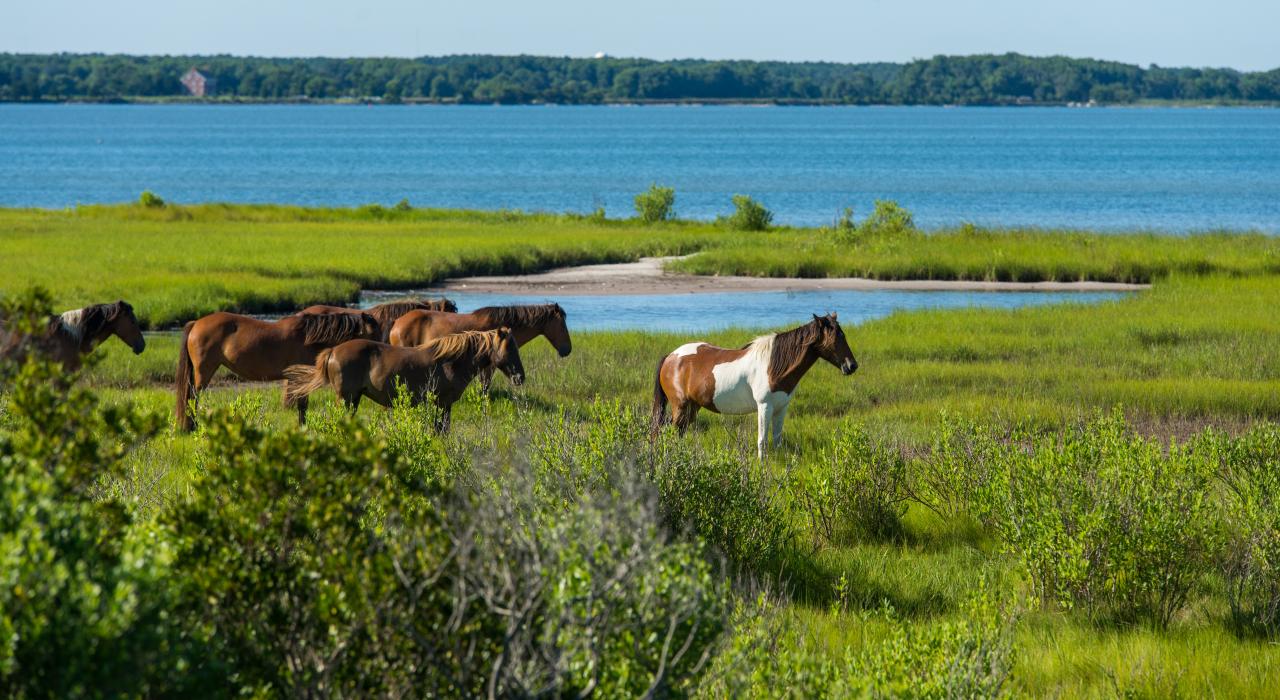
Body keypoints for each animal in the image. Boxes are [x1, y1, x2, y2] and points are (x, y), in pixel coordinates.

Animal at [175, 311, 379, 431]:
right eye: (374, 333)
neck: (308, 337)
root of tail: (196, 323)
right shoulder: (300, 379)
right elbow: (302, 406)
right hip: (204, 372)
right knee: (192, 397)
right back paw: (191, 426)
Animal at [282, 328, 525, 432]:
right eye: (509, 348)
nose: (520, 377)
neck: (450, 361)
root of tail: (332, 351)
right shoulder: (443, 402)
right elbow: (442, 429)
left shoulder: (443, 404)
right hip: (346, 398)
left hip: (354, 398)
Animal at [650, 313, 858, 459]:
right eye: (835, 338)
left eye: (844, 335)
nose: (852, 366)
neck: (773, 366)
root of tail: (670, 357)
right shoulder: (764, 406)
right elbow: (762, 441)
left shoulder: (781, 408)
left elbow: (777, 439)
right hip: (680, 406)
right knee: (669, 430)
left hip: (692, 407)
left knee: (676, 431)